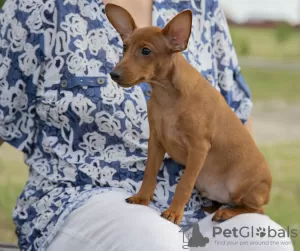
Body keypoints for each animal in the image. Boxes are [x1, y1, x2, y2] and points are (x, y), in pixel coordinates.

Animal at [105, 2, 272, 225]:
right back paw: (212, 207)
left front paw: (174, 212)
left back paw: (226, 212)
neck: (167, 96)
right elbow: (149, 173)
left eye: (146, 51)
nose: (113, 74)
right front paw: (142, 198)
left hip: (243, 190)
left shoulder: (198, 149)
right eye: (124, 47)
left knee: (256, 209)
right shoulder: (156, 141)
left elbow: (184, 184)